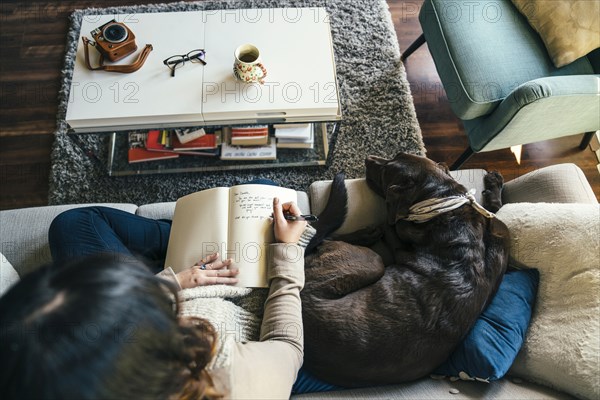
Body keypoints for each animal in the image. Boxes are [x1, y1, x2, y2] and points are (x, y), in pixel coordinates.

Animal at [302, 153, 508, 388]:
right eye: (396, 155)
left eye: (385, 171)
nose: (368, 158)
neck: (446, 205)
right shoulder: (501, 234)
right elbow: (497, 211)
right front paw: (494, 186)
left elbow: (392, 224)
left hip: (372, 261)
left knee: (326, 237)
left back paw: (366, 234)